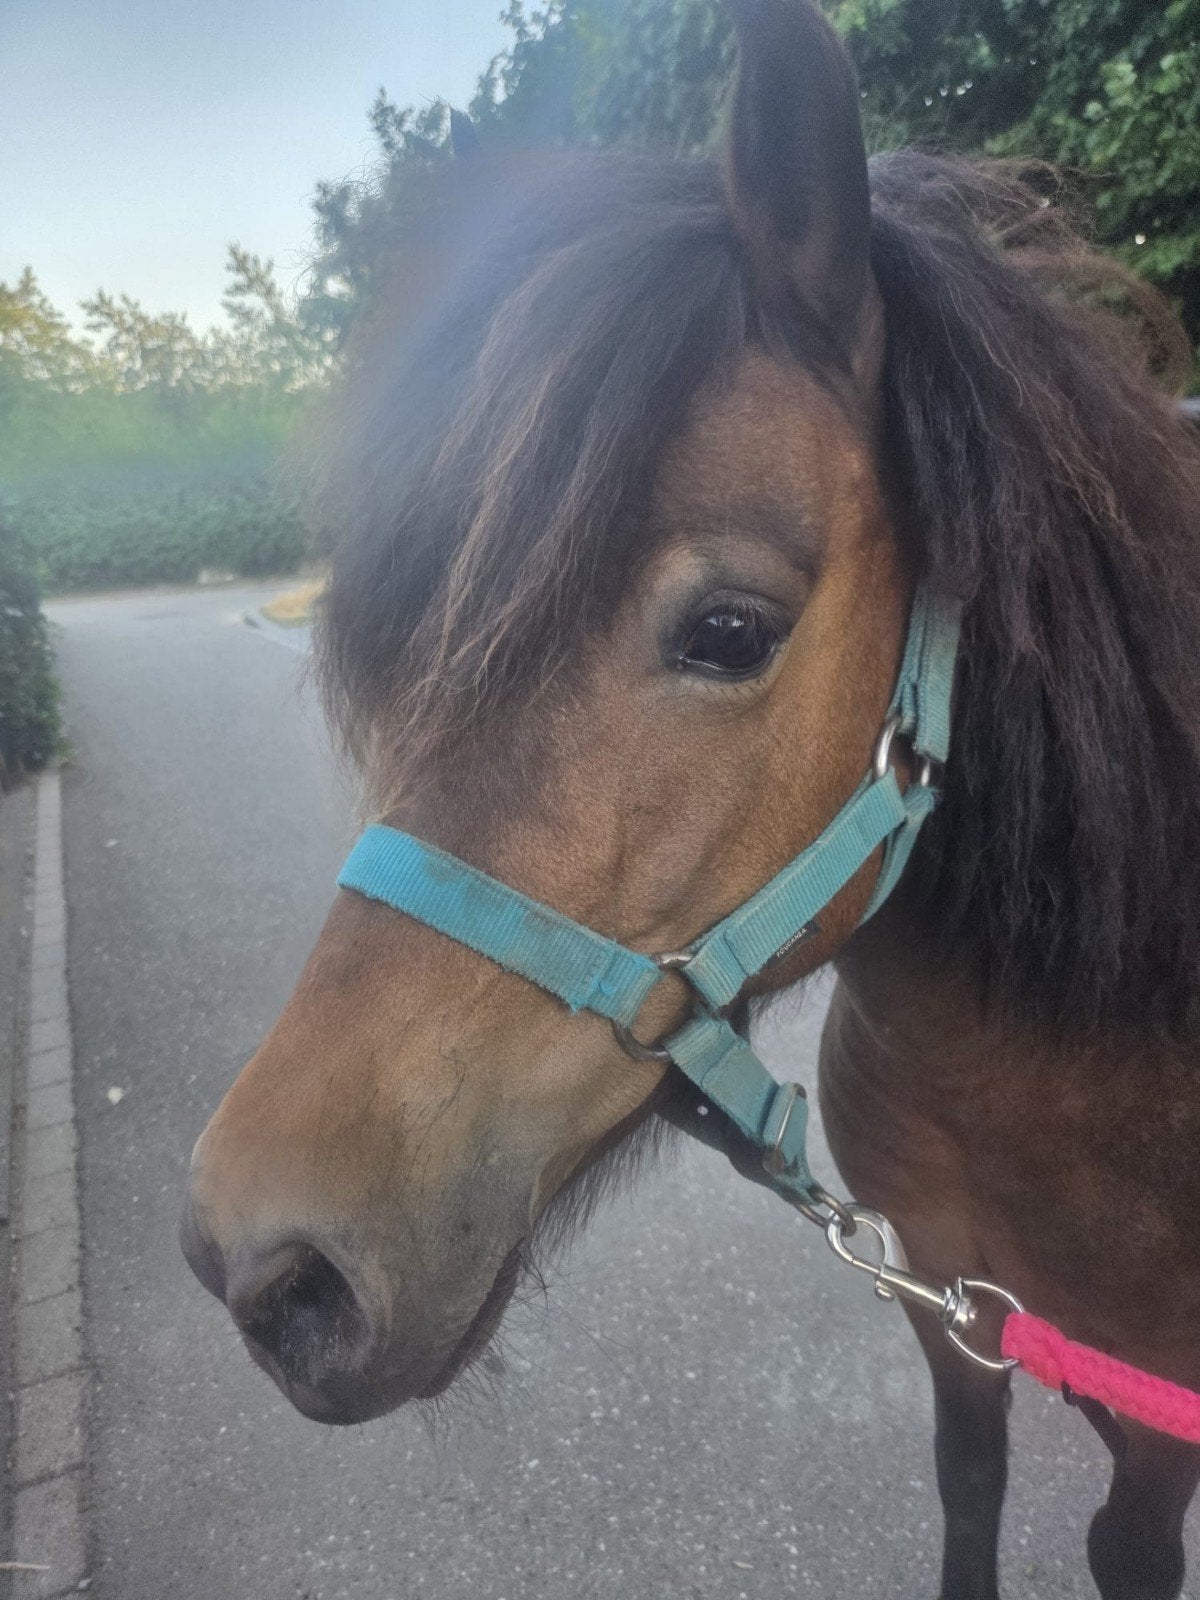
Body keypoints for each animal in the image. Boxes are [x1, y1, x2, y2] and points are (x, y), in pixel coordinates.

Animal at [180, 2, 1200, 1594]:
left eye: (727, 629)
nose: (264, 1262)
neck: (1078, 1069)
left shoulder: (1156, 1411)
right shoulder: (950, 1316)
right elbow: (969, 1484)